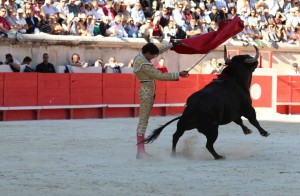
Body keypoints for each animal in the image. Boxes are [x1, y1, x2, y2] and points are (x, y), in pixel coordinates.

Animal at [142, 45, 270, 159]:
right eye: (247, 57)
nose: (256, 62)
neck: (234, 80)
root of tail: (193, 108)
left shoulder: (233, 113)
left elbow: (239, 121)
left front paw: (247, 130)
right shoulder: (248, 107)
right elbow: (253, 120)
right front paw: (264, 132)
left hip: (184, 124)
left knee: (176, 136)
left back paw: (174, 154)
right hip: (212, 129)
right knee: (208, 145)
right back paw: (219, 156)